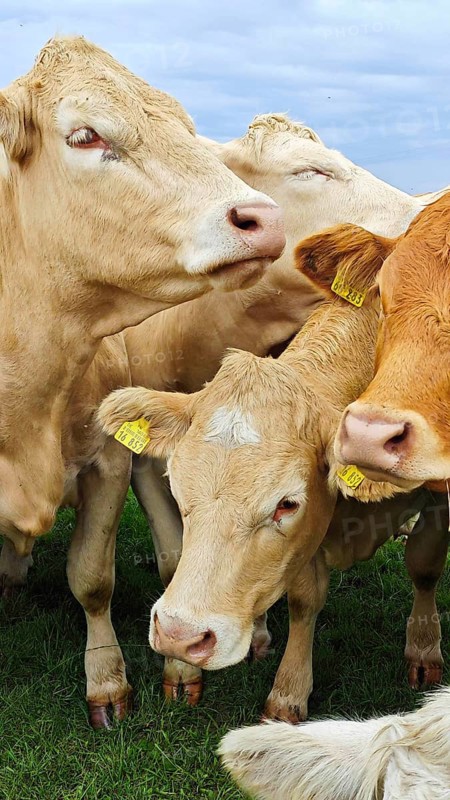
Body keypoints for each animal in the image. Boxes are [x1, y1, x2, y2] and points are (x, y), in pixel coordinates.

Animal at [0, 36, 284, 727]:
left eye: (186, 128)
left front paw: (107, 682)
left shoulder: (107, 459)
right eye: (84, 135)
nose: (262, 217)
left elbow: (91, 576)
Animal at [122, 114, 449, 702]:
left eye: (285, 505)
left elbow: (425, 563)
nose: (180, 634)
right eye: (179, 490)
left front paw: (422, 650)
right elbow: (298, 593)